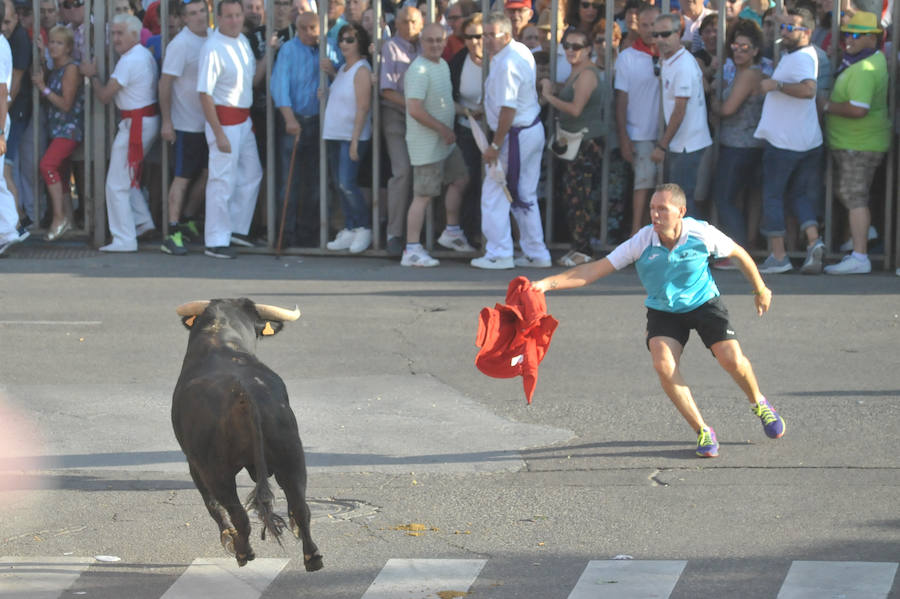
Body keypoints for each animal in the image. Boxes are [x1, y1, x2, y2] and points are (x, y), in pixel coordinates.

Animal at [172, 298, 324, 572]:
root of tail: (244, 391)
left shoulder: (194, 464)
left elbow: (212, 506)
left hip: (216, 471)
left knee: (235, 512)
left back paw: (243, 552)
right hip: (292, 456)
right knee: (300, 506)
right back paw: (312, 557)